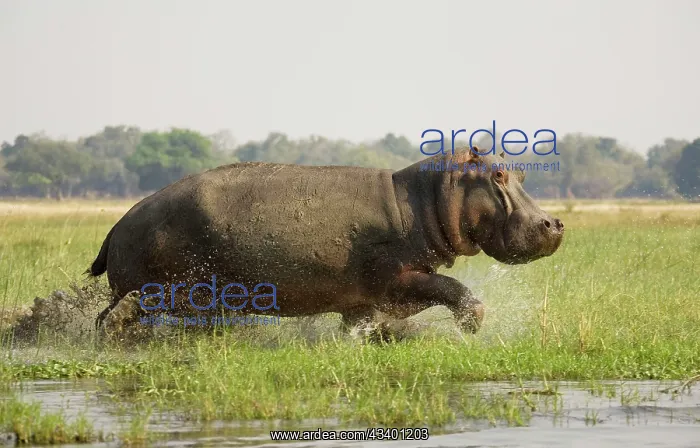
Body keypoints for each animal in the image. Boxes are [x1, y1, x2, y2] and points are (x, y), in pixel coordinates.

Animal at [88, 147, 564, 340]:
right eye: (497, 174)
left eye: (521, 173)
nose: (554, 223)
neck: (424, 199)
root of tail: (119, 222)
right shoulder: (397, 279)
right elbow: (451, 289)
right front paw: (471, 326)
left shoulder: (365, 299)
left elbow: (365, 324)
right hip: (168, 286)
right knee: (122, 313)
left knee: (109, 315)